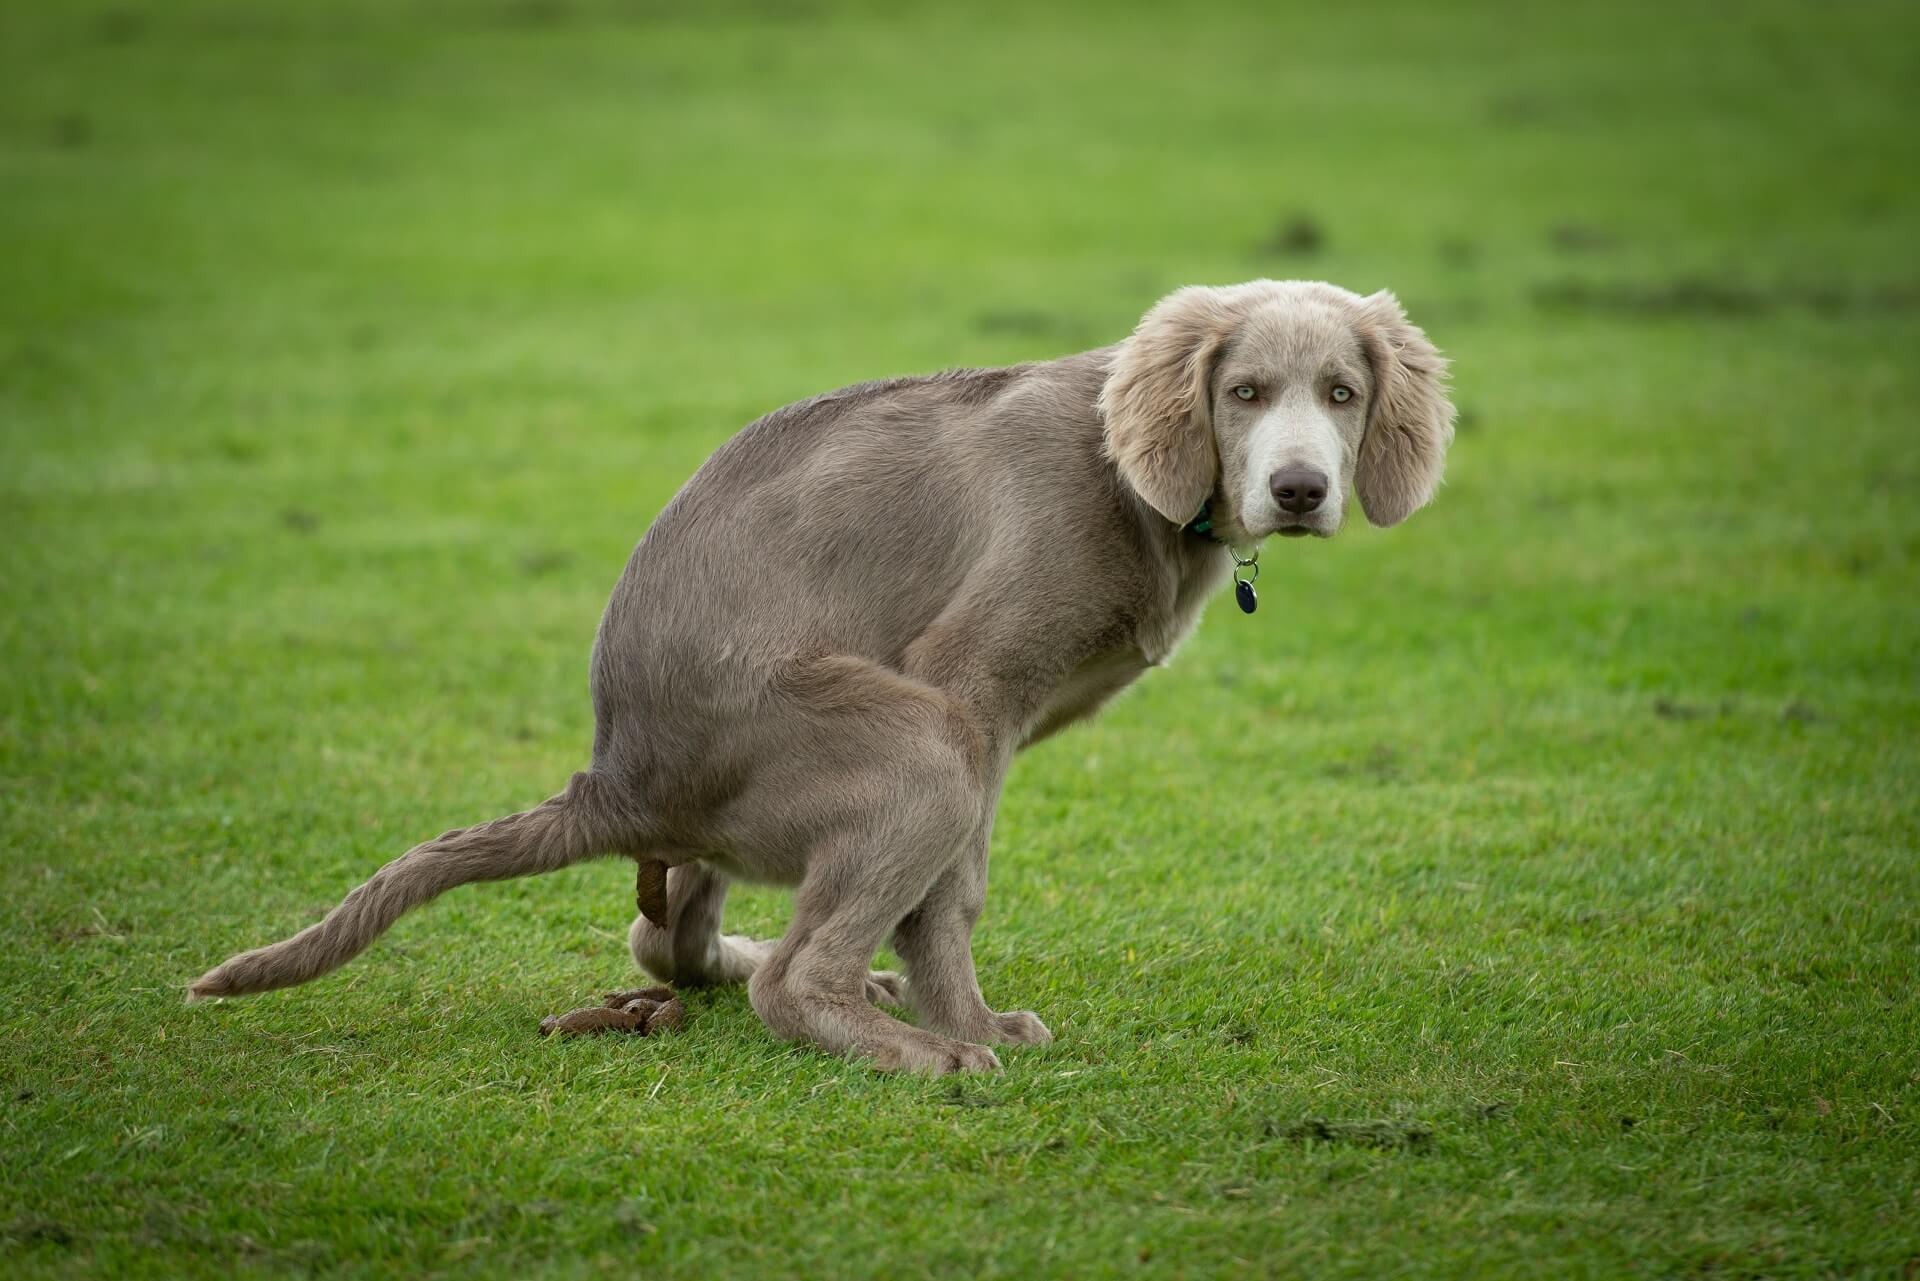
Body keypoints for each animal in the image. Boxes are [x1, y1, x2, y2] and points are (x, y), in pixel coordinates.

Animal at [194, 278, 1451, 1075]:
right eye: (1244, 393)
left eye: (1342, 394)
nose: (1299, 490)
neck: (1133, 485)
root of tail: (613, 781)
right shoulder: (972, 690)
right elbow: (954, 894)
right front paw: (973, 1025)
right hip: (913, 746)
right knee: (789, 982)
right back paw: (921, 1054)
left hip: (736, 829)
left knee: (669, 943)